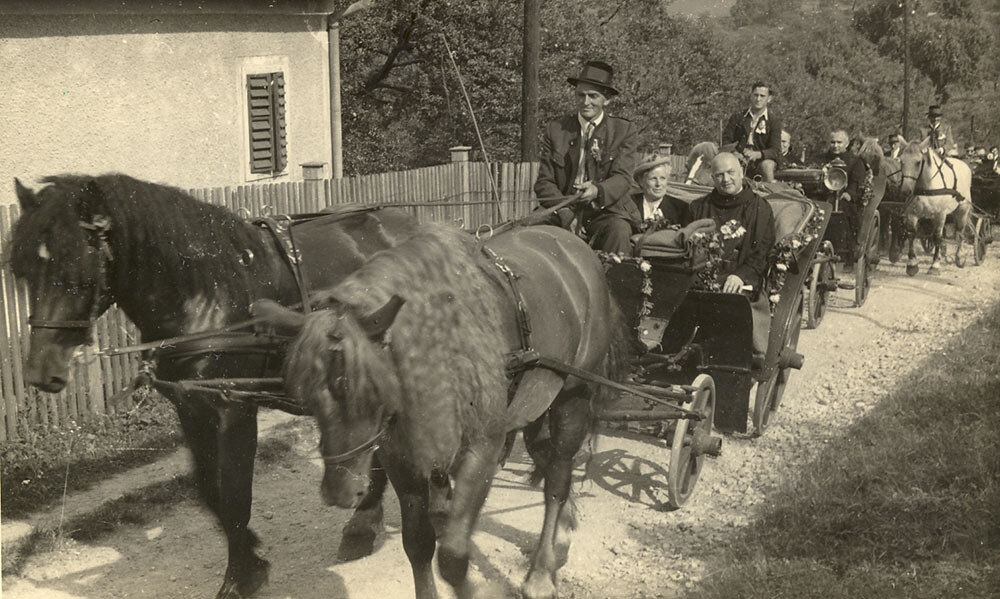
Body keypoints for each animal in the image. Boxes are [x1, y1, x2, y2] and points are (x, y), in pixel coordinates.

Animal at [5, 176, 418, 596]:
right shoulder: (191, 407)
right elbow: (211, 493)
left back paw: (364, 523)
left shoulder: (233, 409)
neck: (206, 294)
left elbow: (235, 494)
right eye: (25, 272)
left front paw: (239, 578)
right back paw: (364, 521)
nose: (40, 371)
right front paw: (251, 557)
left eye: (78, 270)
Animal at [262, 221, 628, 599]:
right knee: (547, 460)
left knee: (557, 477)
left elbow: (452, 556)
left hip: (573, 397)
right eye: (308, 398)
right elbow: (418, 543)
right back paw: (562, 537)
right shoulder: (400, 455)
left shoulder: (482, 449)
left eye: (370, 388)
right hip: (537, 403)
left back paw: (541, 572)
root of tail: (574, 245)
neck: (441, 345)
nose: (340, 492)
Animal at [896, 142, 972, 276]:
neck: (926, 188)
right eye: (901, 161)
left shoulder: (940, 215)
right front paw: (912, 264)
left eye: (918, 162)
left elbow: (937, 237)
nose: (905, 191)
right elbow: (911, 235)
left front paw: (935, 265)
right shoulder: (912, 214)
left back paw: (960, 257)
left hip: (963, 210)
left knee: (960, 232)